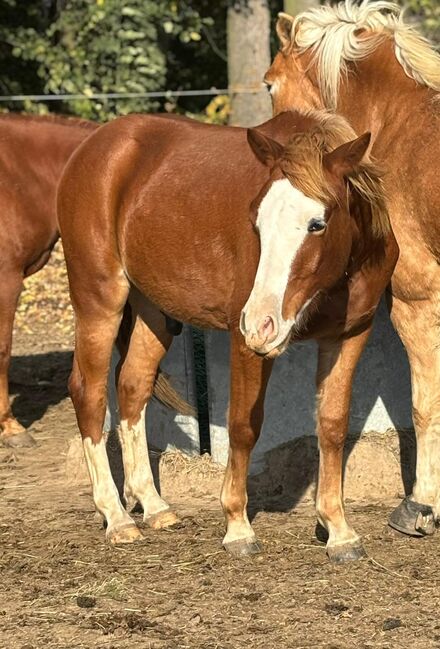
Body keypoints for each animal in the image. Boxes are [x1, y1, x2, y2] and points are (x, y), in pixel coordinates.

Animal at [56, 107, 398, 560]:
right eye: (256, 221)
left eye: (317, 224)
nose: (261, 321)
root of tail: (93, 148)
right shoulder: (246, 344)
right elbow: (243, 427)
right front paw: (237, 527)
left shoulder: (349, 335)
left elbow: (332, 425)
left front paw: (338, 529)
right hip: (99, 300)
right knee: (89, 394)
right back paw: (116, 517)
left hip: (154, 313)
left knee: (132, 386)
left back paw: (153, 505)